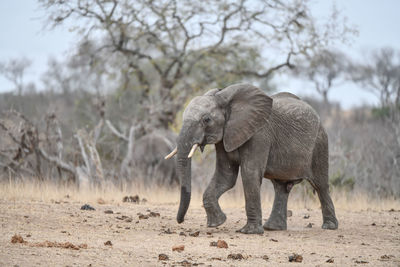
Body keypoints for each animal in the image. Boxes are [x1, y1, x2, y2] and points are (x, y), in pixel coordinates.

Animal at [166, 83, 338, 234]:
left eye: (206, 119)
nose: (180, 221)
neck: (224, 98)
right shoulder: (225, 137)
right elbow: (226, 176)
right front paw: (217, 223)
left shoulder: (259, 135)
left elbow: (249, 174)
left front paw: (249, 232)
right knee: (281, 187)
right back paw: (273, 228)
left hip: (320, 143)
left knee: (320, 185)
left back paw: (329, 227)